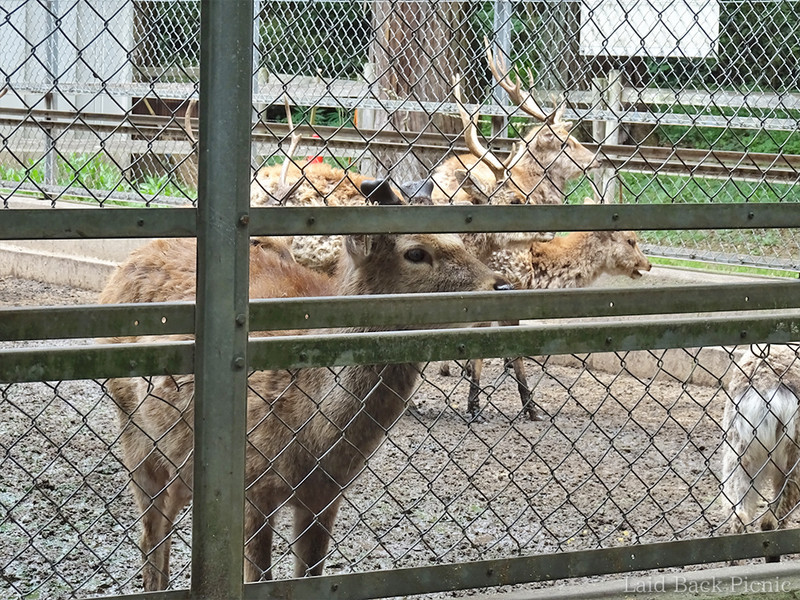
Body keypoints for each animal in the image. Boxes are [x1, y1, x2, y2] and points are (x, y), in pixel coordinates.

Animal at [99, 181, 511, 591]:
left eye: (460, 238)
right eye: (416, 252)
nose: (503, 285)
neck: (312, 436)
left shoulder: (327, 495)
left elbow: (310, 574)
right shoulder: (251, 485)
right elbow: (259, 577)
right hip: (135, 434)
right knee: (151, 533)